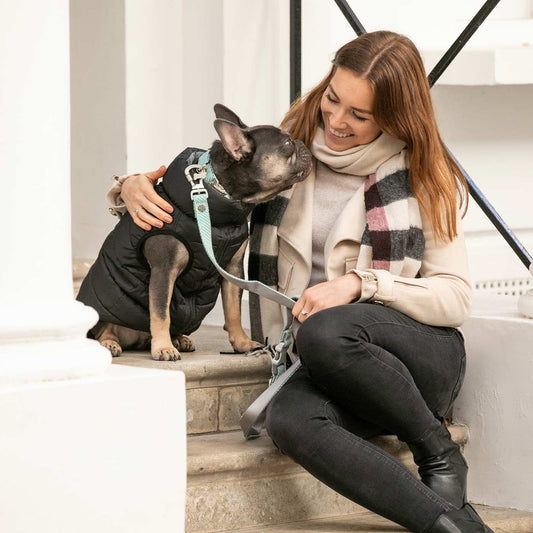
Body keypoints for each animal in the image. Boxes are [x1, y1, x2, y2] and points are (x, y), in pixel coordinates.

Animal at [77, 104, 312, 361]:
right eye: (287, 143)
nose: (302, 144)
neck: (215, 193)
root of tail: (136, 339)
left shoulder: (232, 269)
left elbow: (233, 311)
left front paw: (242, 343)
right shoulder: (164, 269)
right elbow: (160, 311)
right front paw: (162, 347)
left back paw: (179, 339)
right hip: (105, 303)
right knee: (103, 327)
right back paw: (112, 342)